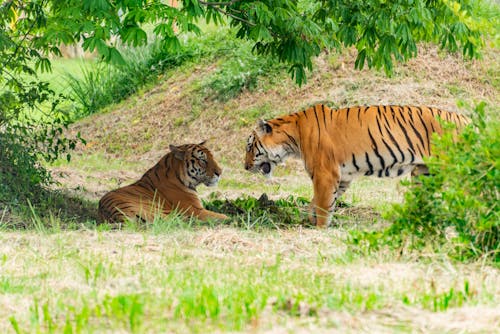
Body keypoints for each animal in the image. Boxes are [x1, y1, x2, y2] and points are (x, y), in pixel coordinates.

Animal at [97, 142, 229, 224]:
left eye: (212, 157)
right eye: (202, 160)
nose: (220, 172)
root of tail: (117, 216)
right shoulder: (195, 210)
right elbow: (222, 216)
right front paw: (229, 217)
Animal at [244, 104, 470, 228]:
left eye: (249, 146)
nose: (245, 167)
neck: (293, 136)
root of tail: (465, 118)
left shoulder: (325, 173)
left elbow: (323, 203)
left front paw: (319, 228)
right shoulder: (342, 177)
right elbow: (320, 201)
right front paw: (310, 219)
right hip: (424, 172)